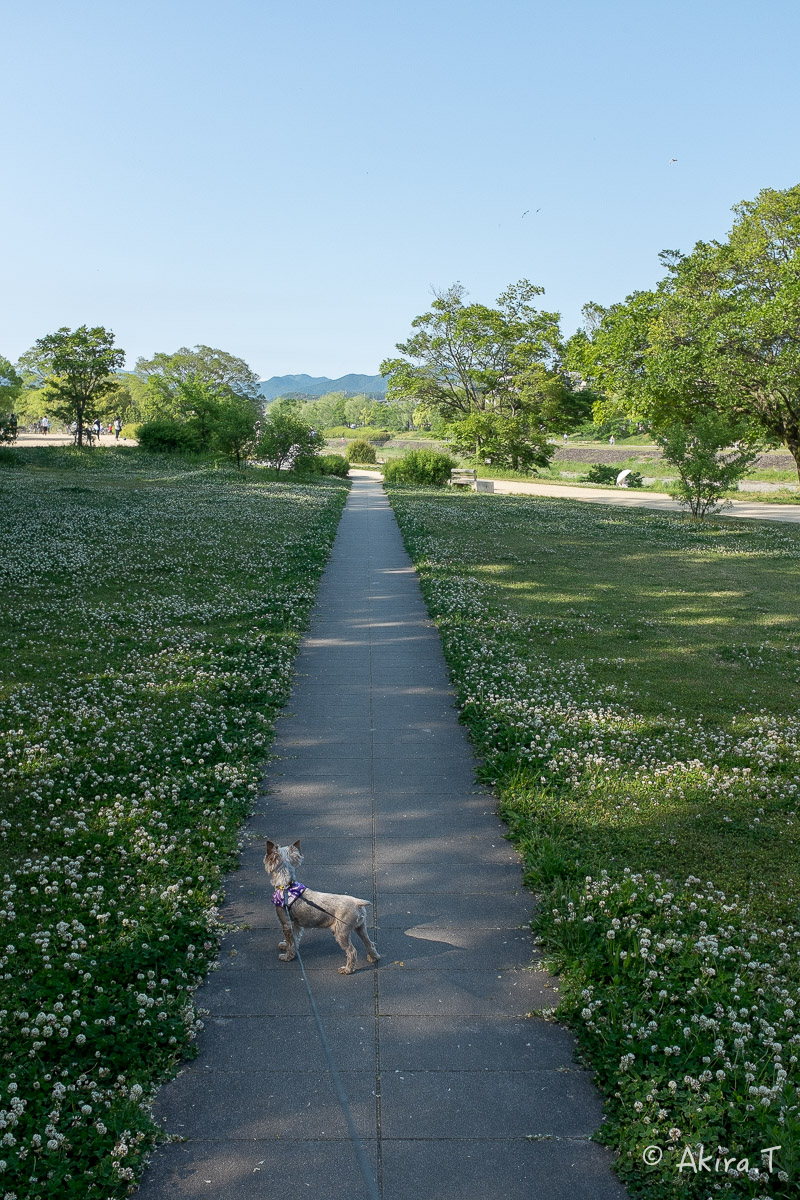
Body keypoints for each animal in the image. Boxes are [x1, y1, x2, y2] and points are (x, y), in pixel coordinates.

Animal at [263, 835, 381, 974]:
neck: (286, 886)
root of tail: (358, 903)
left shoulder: (286, 923)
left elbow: (291, 941)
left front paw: (287, 956)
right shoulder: (295, 925)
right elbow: (294, 939)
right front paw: (285, 945)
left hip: (340, 932)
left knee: (352, 951)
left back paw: (347, 969)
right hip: (361, 927)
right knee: (369, 943)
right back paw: (373, 957)